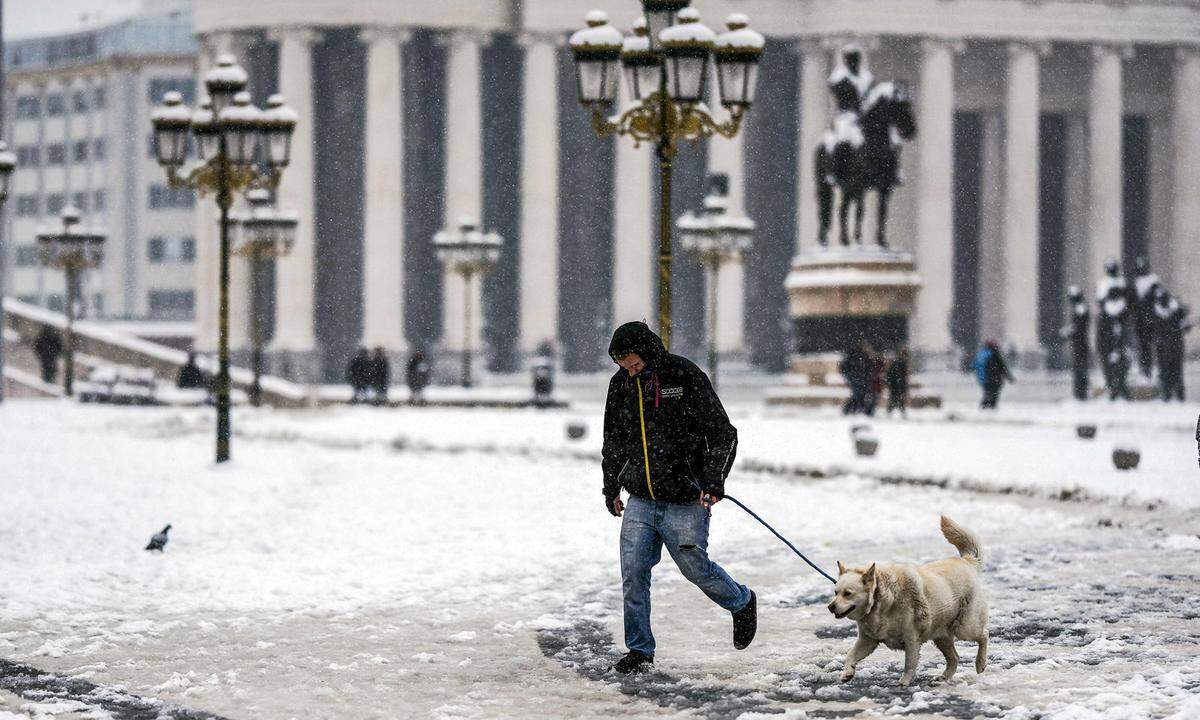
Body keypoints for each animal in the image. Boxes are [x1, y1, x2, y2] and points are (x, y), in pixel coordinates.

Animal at [830, 518, 988, 686]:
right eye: (835, 592)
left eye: (847, 594)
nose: (830, 607)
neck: (881, 601)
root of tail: (967, 561)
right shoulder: (868, 641)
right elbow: (850, 655)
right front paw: (847, 672)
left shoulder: (912, 638)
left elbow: (909, 663)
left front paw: (904, 682)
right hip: (941, 635)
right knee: (954, 658)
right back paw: (944, 677)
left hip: (964, 627)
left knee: (984, 634)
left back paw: (980, 663)